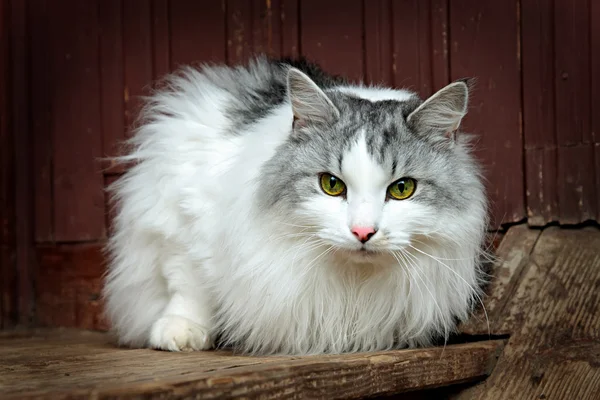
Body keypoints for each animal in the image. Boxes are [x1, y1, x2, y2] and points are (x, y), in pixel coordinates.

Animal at [103, 56, 488, 356]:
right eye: (331, 185)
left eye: (402, 188)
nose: (363, 232)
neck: (351, 282)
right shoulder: (189, 219)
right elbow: (190, 284)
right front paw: (180, 332)